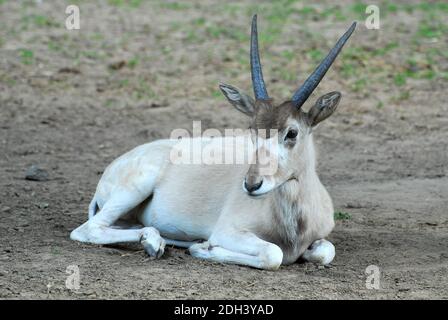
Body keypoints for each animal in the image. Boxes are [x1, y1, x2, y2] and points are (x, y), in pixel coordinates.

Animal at [70, 15, 356, 270]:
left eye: (292, 133)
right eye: (252, 129)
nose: (252, 185)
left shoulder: (320, 239)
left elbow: (325, 251)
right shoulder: (228, 231)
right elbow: (273, 254)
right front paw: (204, 247)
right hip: (134, 189)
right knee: (88, 229)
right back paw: (154, 242)